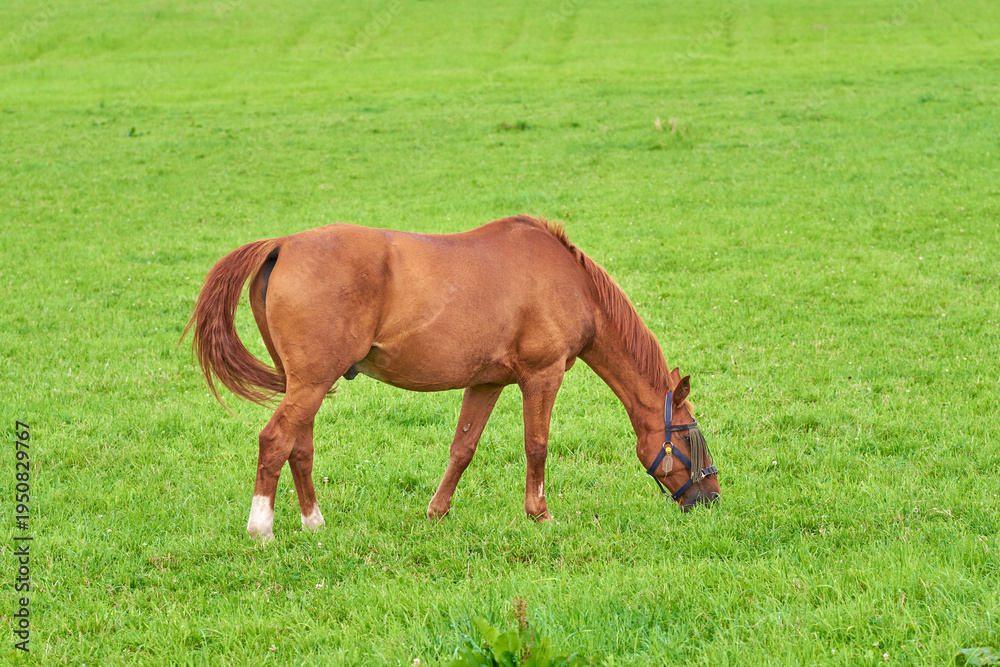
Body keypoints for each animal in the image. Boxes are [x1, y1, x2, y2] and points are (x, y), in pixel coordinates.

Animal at [185, 215, 720, 540]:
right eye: (690, 437)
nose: (712, 496)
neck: (572, 284)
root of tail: (283, 244)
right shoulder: (541, 377)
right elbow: (537, 446)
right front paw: (540, 514)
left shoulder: (486, 382)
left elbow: (463, 447)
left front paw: (436, 512)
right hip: (311, 384)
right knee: (275, 440)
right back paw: (261, 528)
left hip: (305, 385)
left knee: (299, 447)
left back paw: (313, 523)